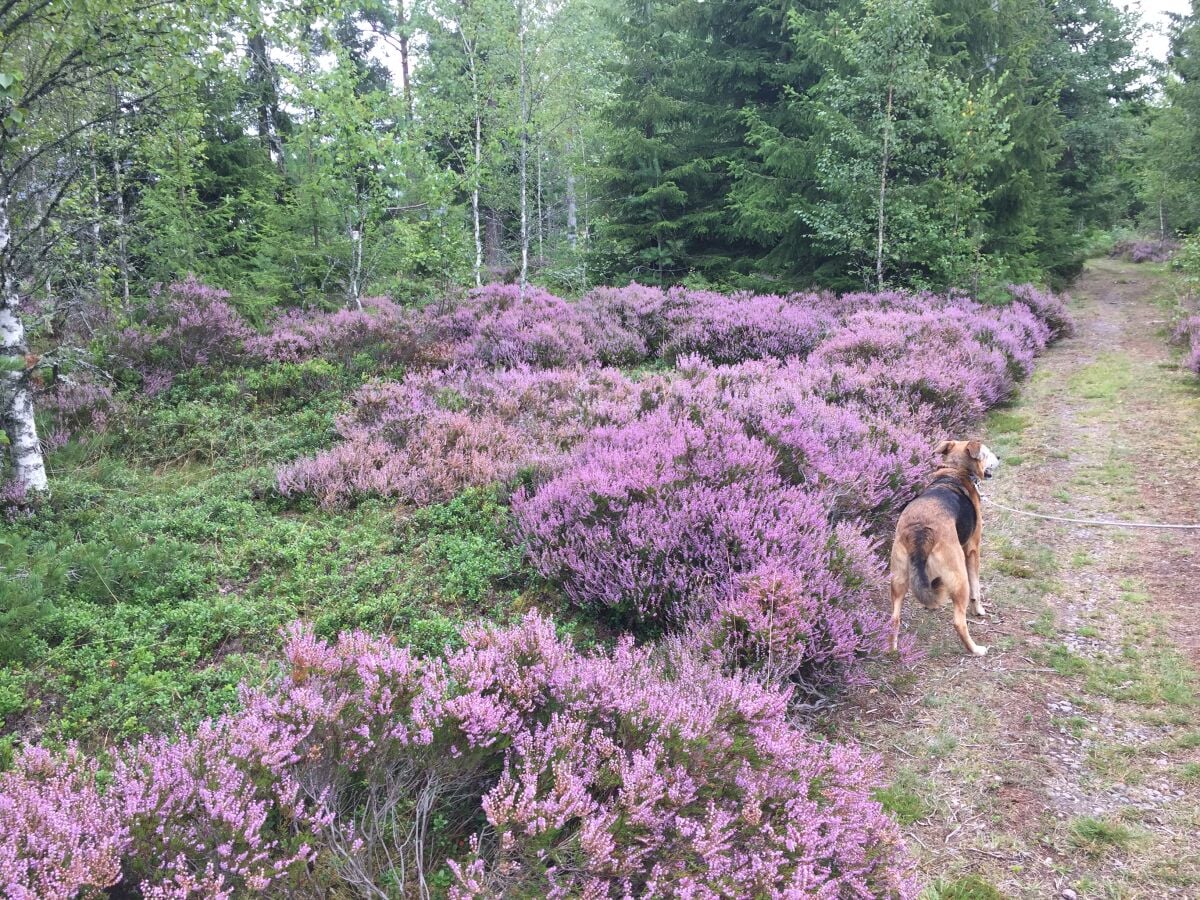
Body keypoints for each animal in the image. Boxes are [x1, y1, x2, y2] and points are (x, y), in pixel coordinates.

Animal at [888, 441, 998, 657]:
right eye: (986, 452)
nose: (999, 457)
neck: (955, 470)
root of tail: (921, 531)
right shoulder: (972, 549)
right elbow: (976, 588)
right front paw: (979, 610)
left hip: (898, 577)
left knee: (894, 618)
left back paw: (892, 649)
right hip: (959, 577)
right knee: (959, 621)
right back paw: (976, 649)